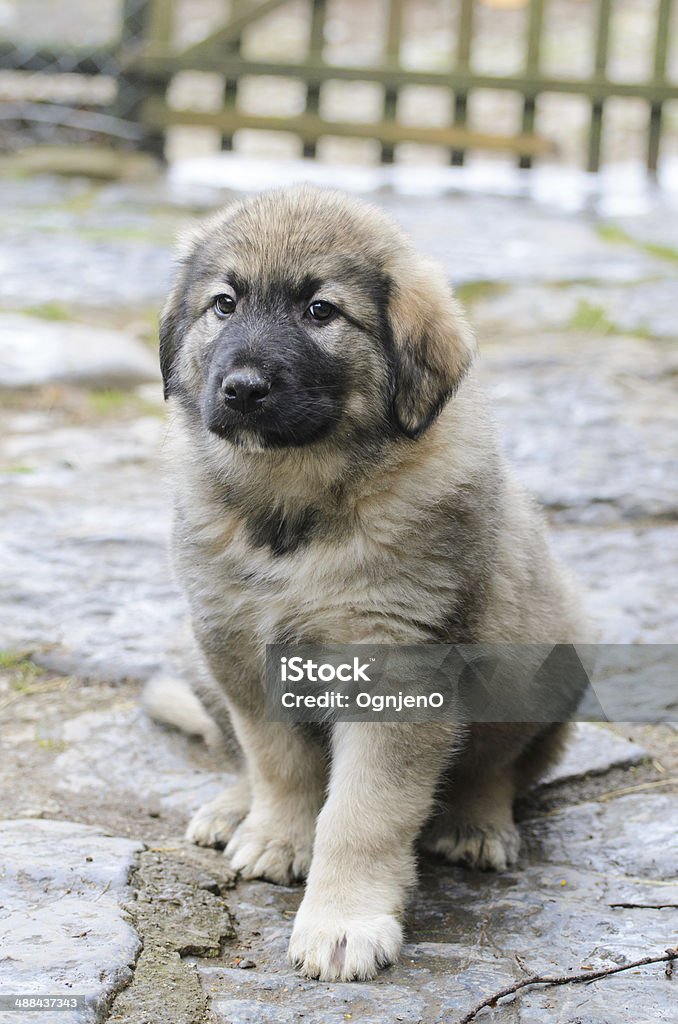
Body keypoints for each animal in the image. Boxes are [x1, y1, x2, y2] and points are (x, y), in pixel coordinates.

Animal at [157, 186, 585, 983]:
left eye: (320, 311)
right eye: (224, 304)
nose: (240, 388)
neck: (300, 503)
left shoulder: (397, 667)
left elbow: (362, 813)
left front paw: (343, 921)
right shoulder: (235, 640)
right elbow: (276, 761)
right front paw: (278, 834)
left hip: (546, 655)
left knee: (500, 766)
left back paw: (475, 822)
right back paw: (232, 807)